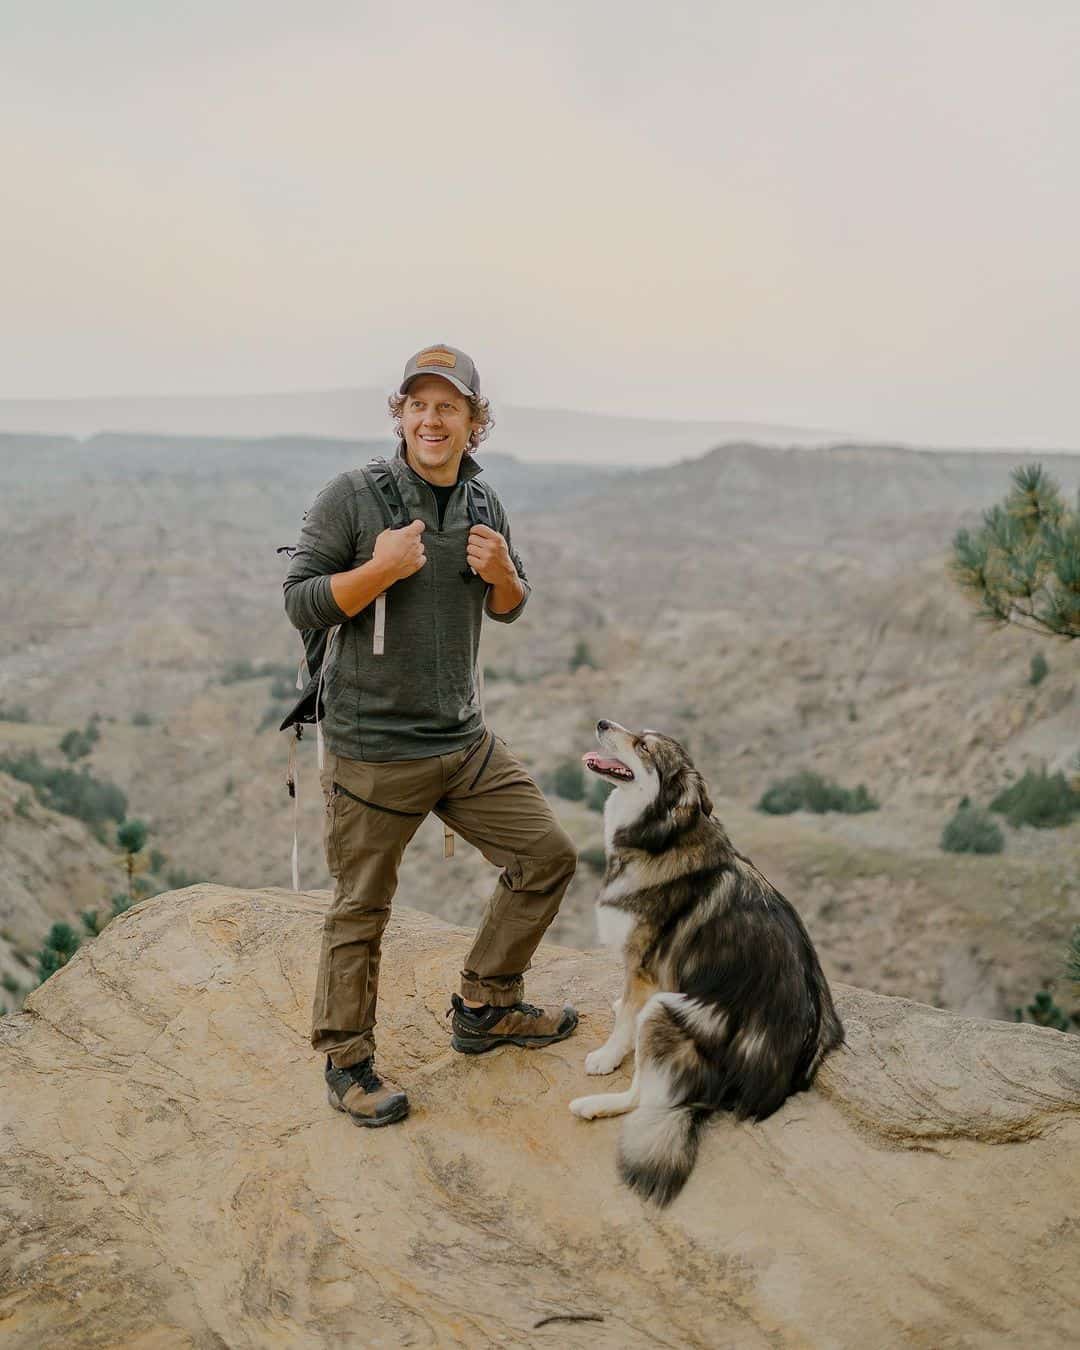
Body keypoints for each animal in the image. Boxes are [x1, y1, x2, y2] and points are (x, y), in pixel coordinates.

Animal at [569, 723, 847, 1209]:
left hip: (667, 1009)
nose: (602, 723)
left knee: (644, 1099)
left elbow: (625, 1019)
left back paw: (594, 1105)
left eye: (644, 746)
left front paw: (606, 1054)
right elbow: (623, 1007)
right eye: (638, 731)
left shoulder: (644, 969)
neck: (661, 835)